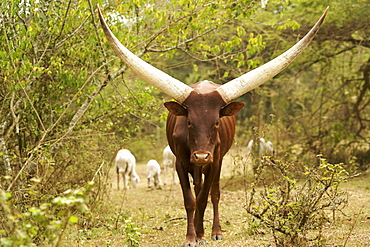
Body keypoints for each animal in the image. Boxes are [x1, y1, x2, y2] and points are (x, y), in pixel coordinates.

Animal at [97, 6, 328, 246]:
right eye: (189, 121)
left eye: (216, 122)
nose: (201, 156)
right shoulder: (180, 163)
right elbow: (190, 200)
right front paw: (191, 236)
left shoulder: (215, 161)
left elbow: (204, 198)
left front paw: (201, 234)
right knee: (198, 189)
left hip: (216, 162)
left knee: (214, 193)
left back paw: (215, 231)